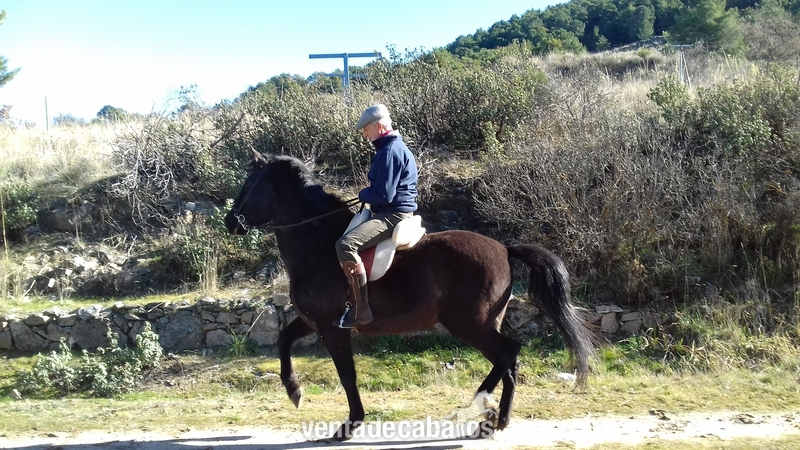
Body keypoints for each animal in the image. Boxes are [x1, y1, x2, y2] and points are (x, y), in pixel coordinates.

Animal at [224, 151, 596, 441]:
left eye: (249, 183)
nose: (230, 222)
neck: (315, 242)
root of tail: (505, 249)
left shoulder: (332, 328)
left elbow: (346, 374)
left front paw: (350, 425)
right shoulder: (313, 321)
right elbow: (283, 340)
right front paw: (294, 391)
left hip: (469, 324)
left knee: (509, 353)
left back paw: (486, 407)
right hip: (483, 323)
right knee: (507, 361)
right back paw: (492, 418)